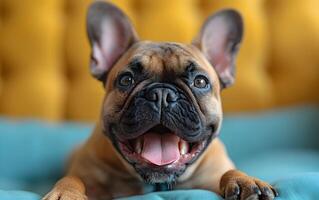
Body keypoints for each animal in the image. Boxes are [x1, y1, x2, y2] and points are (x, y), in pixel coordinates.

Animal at [42, 1, 278, 200]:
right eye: (126, 80)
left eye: (200, 81)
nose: (162, 94)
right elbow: (73, 178)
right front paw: (66, 193)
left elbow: (228, 171)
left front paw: (246, 180)